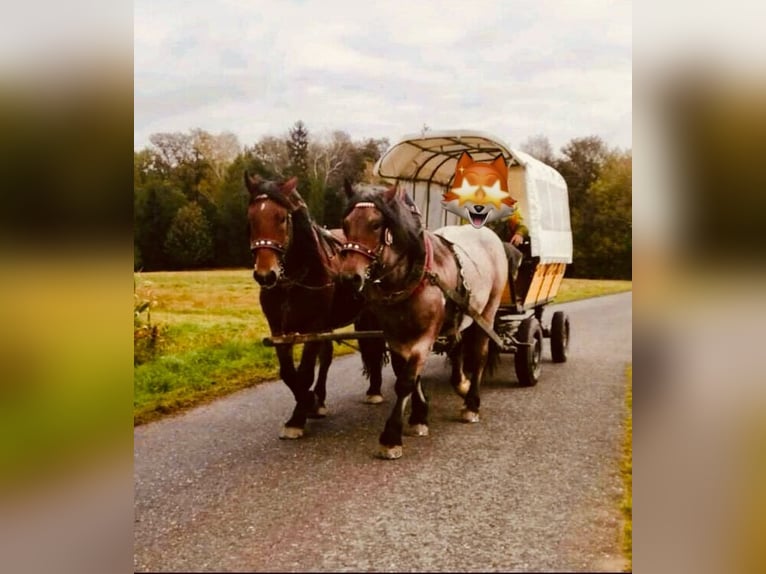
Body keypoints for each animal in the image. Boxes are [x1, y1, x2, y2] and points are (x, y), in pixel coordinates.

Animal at [246, 174, 390, 440]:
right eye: (251, 219)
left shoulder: (313, 326)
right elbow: (288, 373)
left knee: (374, 347)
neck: (292, 281)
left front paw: (299, 416)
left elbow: (304, 373)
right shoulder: (278, 329)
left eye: (282, 218)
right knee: (330, 356)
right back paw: (322, 398)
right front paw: (311, 402)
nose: (265, 275)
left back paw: (374, 389)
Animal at [340, 182, 510, 462]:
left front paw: (391, 437)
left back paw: (471, 403)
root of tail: (488, 233)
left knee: (479, 355)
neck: (413, 275)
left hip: (487, 312)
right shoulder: (395, 335)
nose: (349, 278)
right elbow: (407, 373)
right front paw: (419, 416)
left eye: (376, 224)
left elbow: (406, 381)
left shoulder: (426, 335)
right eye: (345, 224)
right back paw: (461, 384)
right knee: (457, 346)